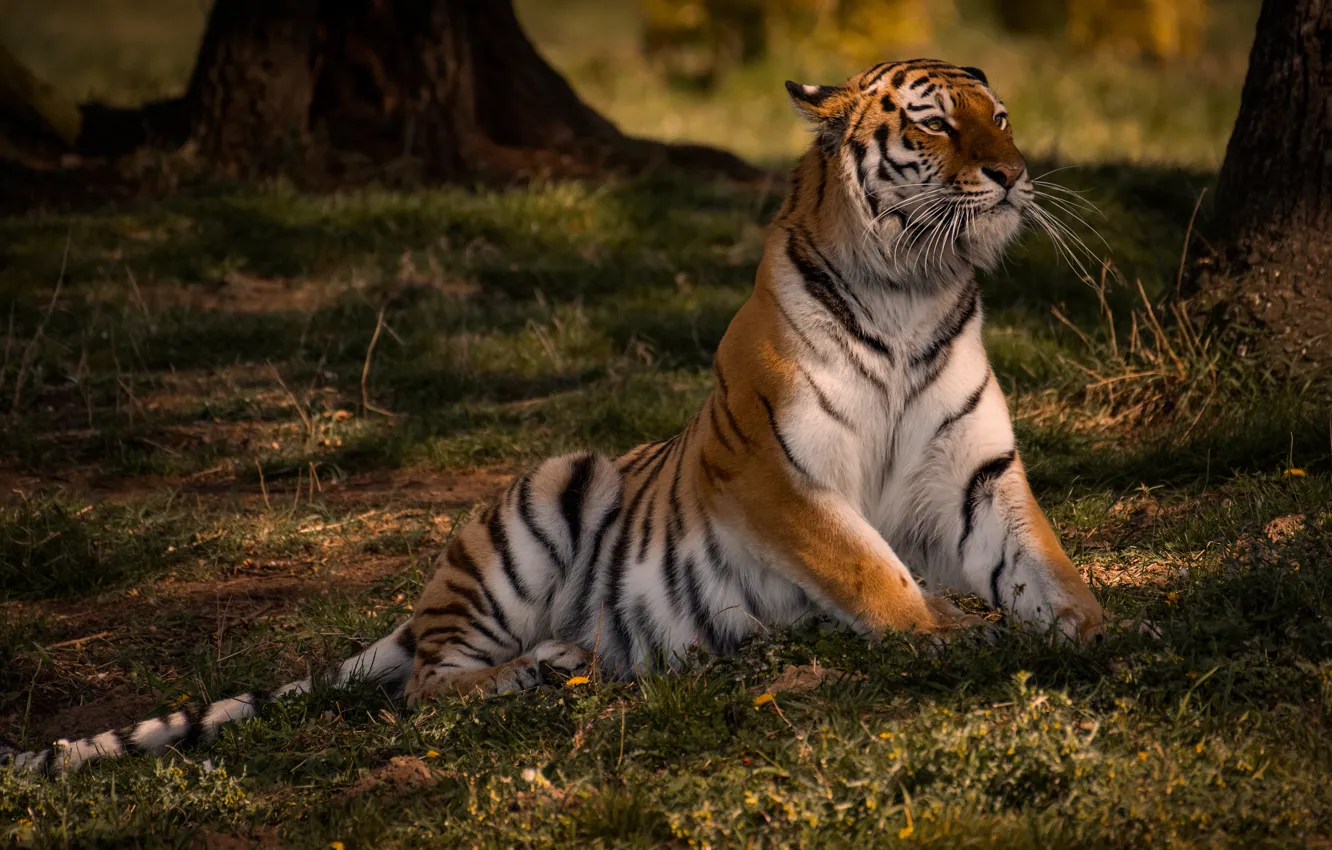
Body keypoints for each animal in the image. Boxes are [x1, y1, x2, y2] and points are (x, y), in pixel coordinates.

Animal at [4, 58, 1105, 774]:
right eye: (935, 124)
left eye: (1003, 115)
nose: (1014, 175)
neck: (911, 285)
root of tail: (417, 605)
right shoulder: (776, 472)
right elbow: (870, 568)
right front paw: (950, 633)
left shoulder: (976, 471)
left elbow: (1044, 560)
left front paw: (1100, 631)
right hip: (548, 489)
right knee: (425, 683)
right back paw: (543, 666)